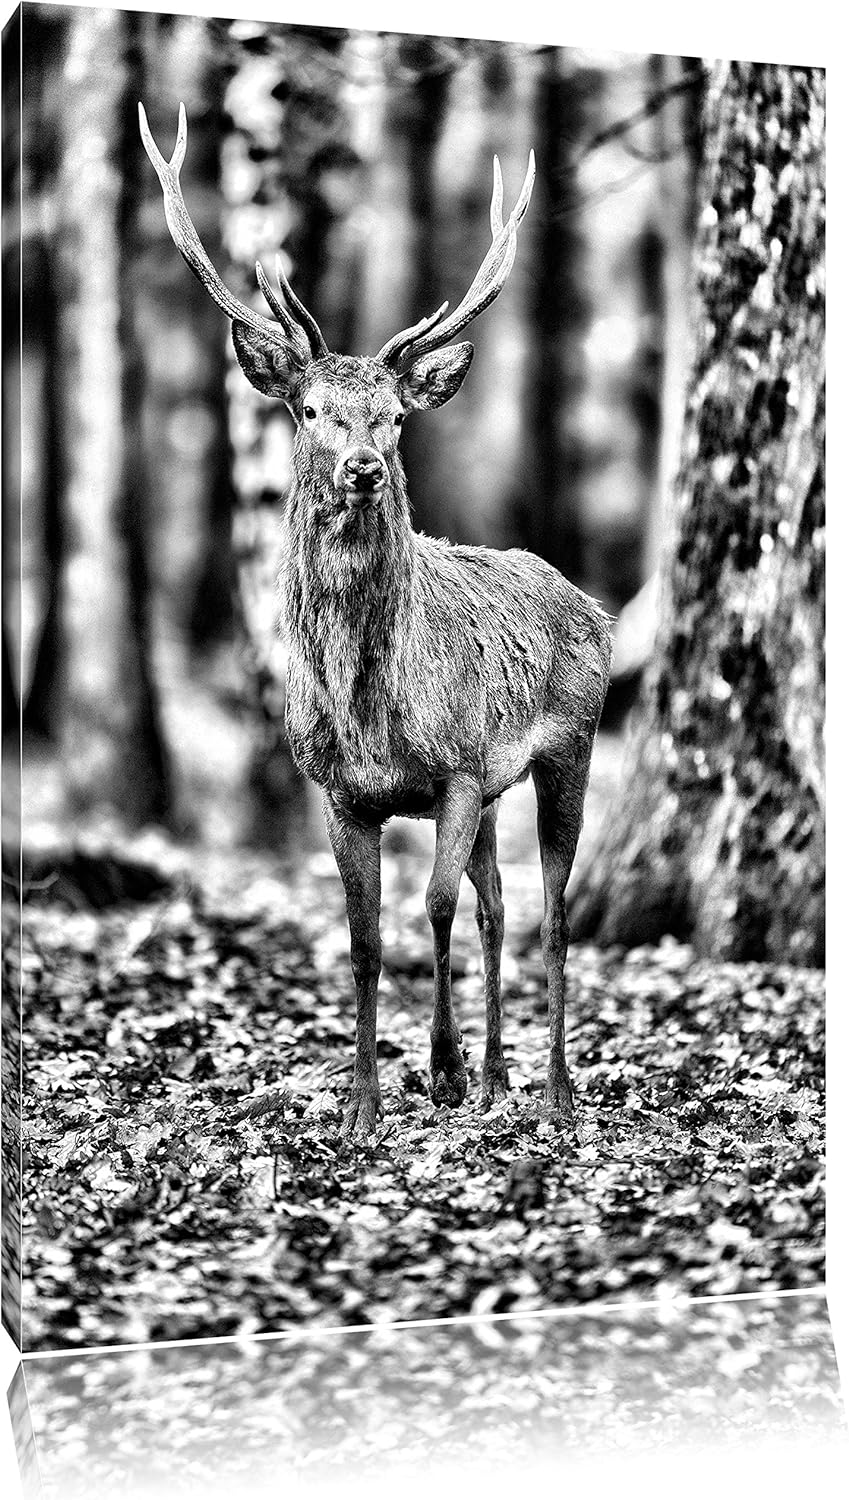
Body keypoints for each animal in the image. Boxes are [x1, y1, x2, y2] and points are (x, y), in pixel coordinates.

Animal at [141, 104, 612, 1138]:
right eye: (313, 408)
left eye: (393, 415)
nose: (361, 467)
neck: (370, 710)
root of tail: (588, 601)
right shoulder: (339, 792)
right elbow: (361, 939)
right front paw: (362, 1104)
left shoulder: (460, 769)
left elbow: (429, 911)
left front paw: (436, 1073)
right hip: (502, 786)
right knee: (501, 905)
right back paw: (499, 1076)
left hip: (568, 745)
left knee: (552, 910)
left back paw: (553, 1092)